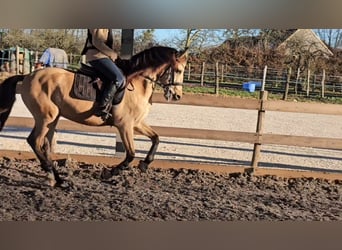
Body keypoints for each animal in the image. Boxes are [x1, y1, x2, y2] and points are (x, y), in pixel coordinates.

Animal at [0, 46, 187, 188]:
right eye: (178, 70)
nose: (177, 95)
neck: (138, 84)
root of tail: (29, 76)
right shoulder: (125, 125)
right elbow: (131, 154)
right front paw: (109, 173)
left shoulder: (137, 123)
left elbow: (156, 138)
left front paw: (145, 163)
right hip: (45, 117)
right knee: (34, 141)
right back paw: (55, 177)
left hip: (52, 119)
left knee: (45, 145)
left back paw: (58, 180)